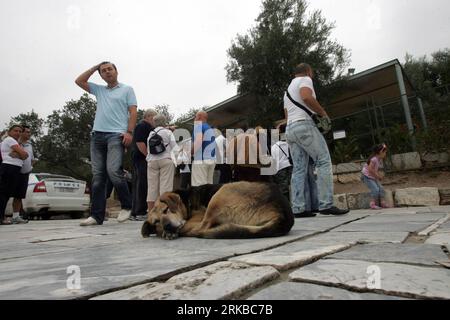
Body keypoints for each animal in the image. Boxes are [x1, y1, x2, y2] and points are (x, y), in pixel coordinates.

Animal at [142, 181, 296, 239]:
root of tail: (283, 215)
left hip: (221, 193)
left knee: (200, 229)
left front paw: (170, 232)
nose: (167, 226)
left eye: (166, 209)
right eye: (156, 222)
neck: (186, 202)